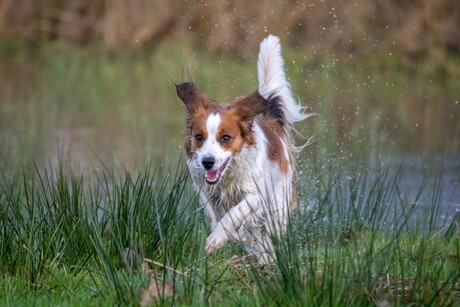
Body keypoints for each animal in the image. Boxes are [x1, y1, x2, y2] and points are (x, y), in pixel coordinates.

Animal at [175, 35, 310, 262]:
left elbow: (232, 216)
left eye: (226, 138)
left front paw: (216, 239)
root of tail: (273, 126)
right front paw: (234, 238)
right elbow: (219, 221)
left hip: (278, 203)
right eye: (199, 137)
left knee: (273, 230)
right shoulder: (204, 190)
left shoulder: (256, 195)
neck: (228, 176)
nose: (207, 162)